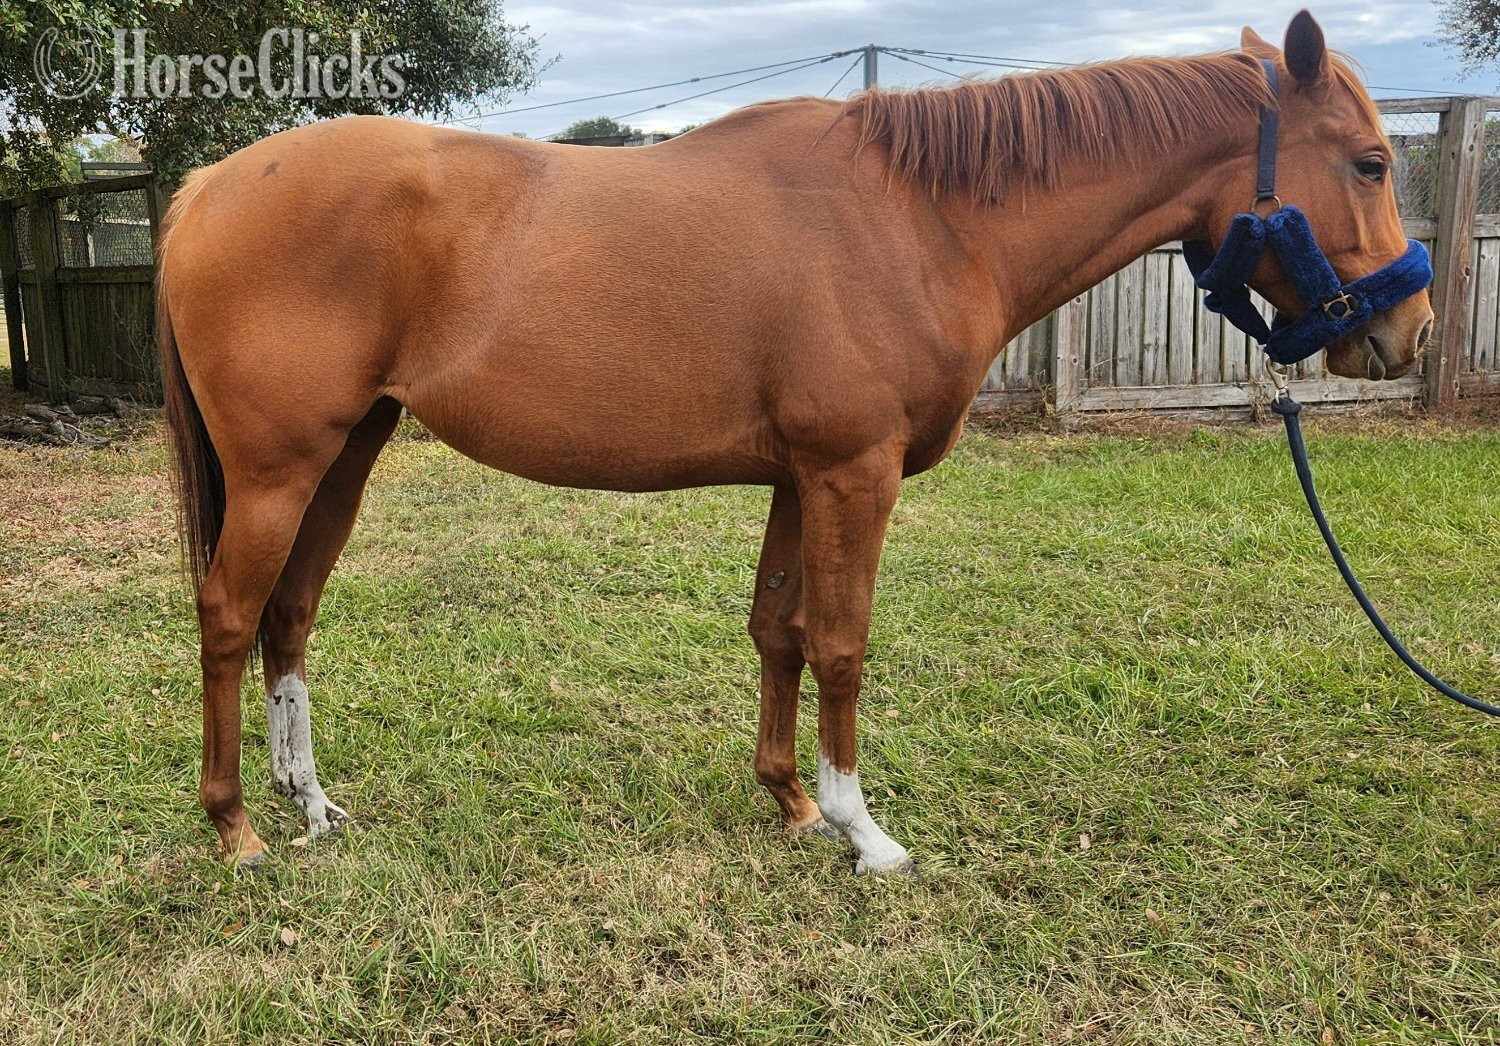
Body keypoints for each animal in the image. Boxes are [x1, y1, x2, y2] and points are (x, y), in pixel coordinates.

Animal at [158, 10, 1433, 874]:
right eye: (1370, 161)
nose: (1410, 330)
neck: (923, 218)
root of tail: (207, 186)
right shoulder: (852, 474)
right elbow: (844, 643)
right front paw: (865, 830)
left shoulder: (796, 474)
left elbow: (778, 630)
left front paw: (790, 801)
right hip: (279, 468)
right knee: (228, 615)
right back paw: (235, 824)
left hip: (347, 452)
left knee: (289, 612)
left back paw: (311, 804)